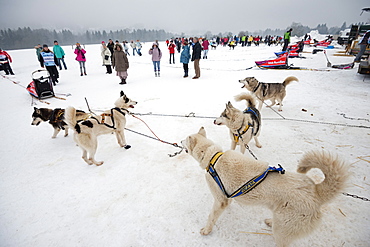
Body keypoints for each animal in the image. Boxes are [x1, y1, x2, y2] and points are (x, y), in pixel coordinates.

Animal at [182, 127, 350, 247]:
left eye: (184, 140)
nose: (179, 141)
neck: (212, 157)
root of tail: (316, 191)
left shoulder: (219, 200)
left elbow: (211, 217)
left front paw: (206, 230)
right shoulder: (226, 196)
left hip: (282, 231)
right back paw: (270, 221)